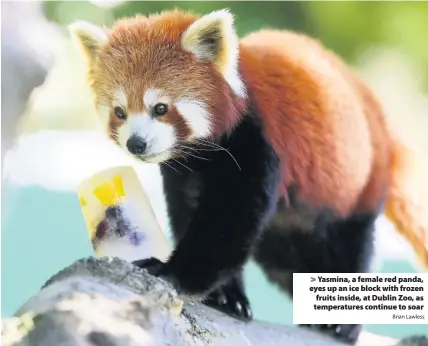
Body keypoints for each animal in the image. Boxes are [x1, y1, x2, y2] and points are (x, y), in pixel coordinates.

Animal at [70, 7, 428, 344]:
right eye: (120, 112)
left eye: (160, 108)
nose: (136, 143)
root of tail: (380, 120)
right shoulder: (186, 170)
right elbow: (192, 214)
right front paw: (226, 296)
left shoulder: (257, 142)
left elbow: (227, 223)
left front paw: (170, 272)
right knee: (288, 264)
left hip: (357, 183)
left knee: (349, 245)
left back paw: (343, 320)